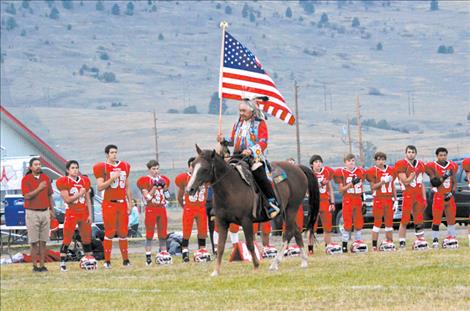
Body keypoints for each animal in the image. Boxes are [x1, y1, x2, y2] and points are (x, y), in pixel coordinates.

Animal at [186, 145, 320, 276]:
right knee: (296, 231)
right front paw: (216, 271)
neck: (230, 188)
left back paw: (275, 263)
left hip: (292, 209)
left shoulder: (246, 221)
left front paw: (256, 265)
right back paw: (304, 261)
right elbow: (220, 247)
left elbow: (250, 244)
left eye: (204, 168)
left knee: (288, 233)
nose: (189, 189)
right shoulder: (222, 222)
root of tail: (298, 168)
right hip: (287, 212)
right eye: (193, 165)